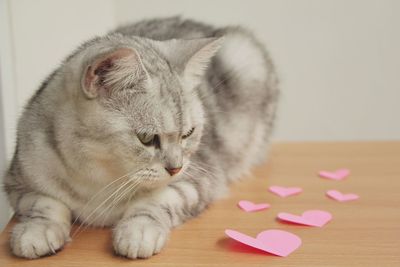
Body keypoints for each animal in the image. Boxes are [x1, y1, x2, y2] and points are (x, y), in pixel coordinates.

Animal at [3, 16, 278, 260]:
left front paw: (138, 231)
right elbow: (45, 203)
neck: (100, 180)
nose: (176, 168)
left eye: (188, 134)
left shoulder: (199, 177)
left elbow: (156, 201)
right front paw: (36, 231)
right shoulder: (18, 181)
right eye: (146, 138)